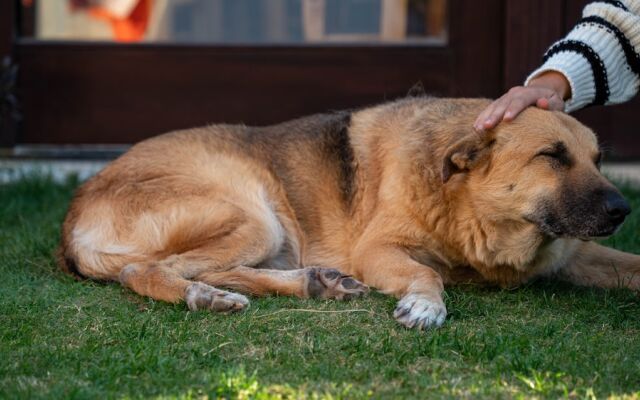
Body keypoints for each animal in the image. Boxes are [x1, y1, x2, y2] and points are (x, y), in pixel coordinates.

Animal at [58, 97, 640, 328]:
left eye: (597, 159)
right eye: (552, 156)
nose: (622, 210)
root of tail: (73, 219)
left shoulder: (575, 253)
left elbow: (630, 266)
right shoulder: (379, 249)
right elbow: (427, 274)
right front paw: (426, 305)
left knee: (220, 269)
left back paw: (314, 283)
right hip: (253, 213)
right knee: (144, 270)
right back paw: (202, 297)